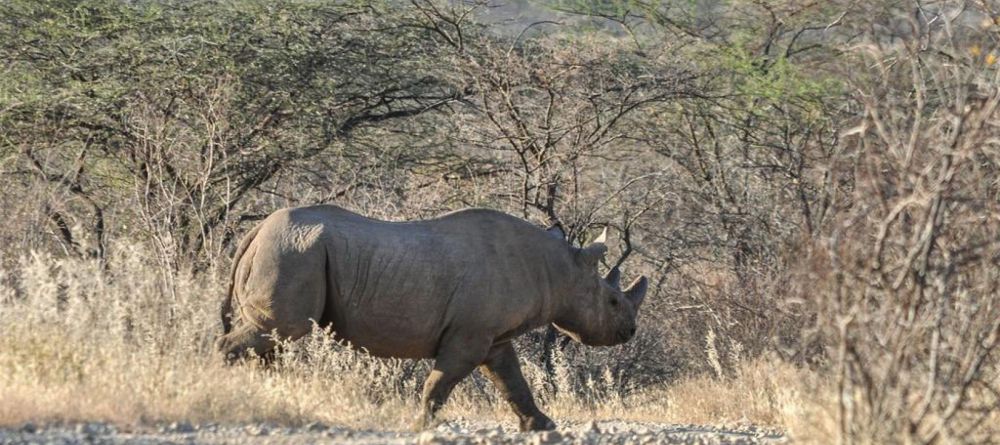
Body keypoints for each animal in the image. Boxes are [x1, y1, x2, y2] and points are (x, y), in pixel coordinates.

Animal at [215, 204, 648, 431]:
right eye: (613, 302)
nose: (629, 331)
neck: (560, 270)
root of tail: (255, 231)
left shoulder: (494, 337)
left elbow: (513, 382)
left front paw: (543, 427)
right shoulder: (469, 335)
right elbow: (441, 381)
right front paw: (423, 426)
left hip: (292, 251)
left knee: (274, 338)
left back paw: (265, 394)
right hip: (294, 252)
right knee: (282, 330)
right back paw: (227, 386)